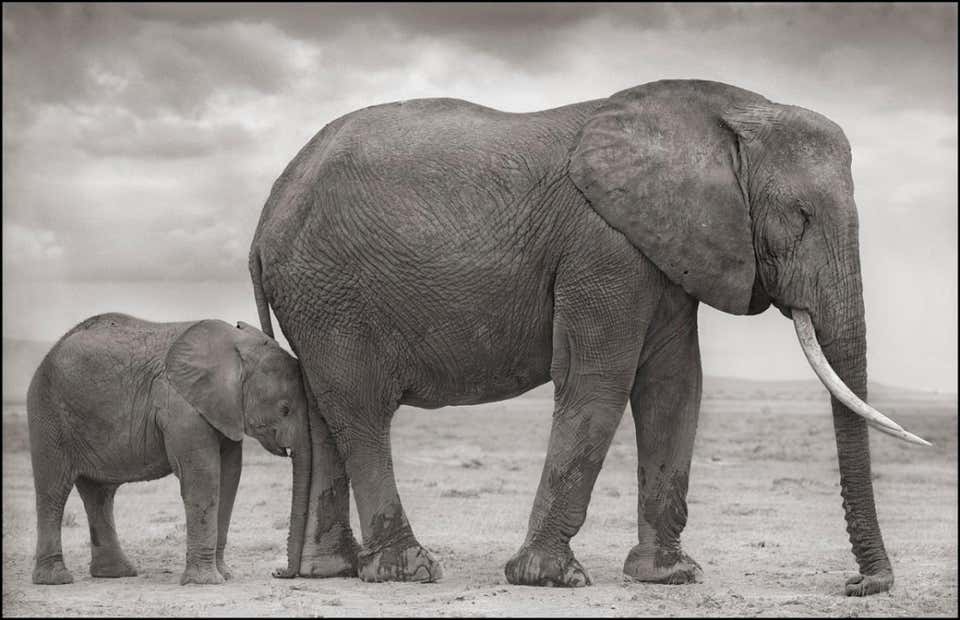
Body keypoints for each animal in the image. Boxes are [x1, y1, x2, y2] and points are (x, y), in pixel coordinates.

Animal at [27, 313, 311, 586]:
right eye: (285, 409)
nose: (278, 572)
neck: (235, 347)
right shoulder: (181, 406)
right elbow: (203, 480)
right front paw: (205, 582)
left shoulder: (224, 412)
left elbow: (229, 479)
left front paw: (224, 575)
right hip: (47, 412)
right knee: (53, 490)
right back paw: (56, 579)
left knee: (99, 494)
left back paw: (116, 574)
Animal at [248, 79, 929, 595]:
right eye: (800, 217)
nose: (860, 586)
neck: (725, 113)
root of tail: (265, 215)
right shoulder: (604, 248)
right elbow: (598, 383)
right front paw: (550, 579)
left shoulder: (661, 251)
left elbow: (675, 389)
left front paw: (669, 577)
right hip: (330, 293)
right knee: (360, 411)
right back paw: (409, 570)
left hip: (316, 298)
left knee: (323, 414)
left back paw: (331, 571)